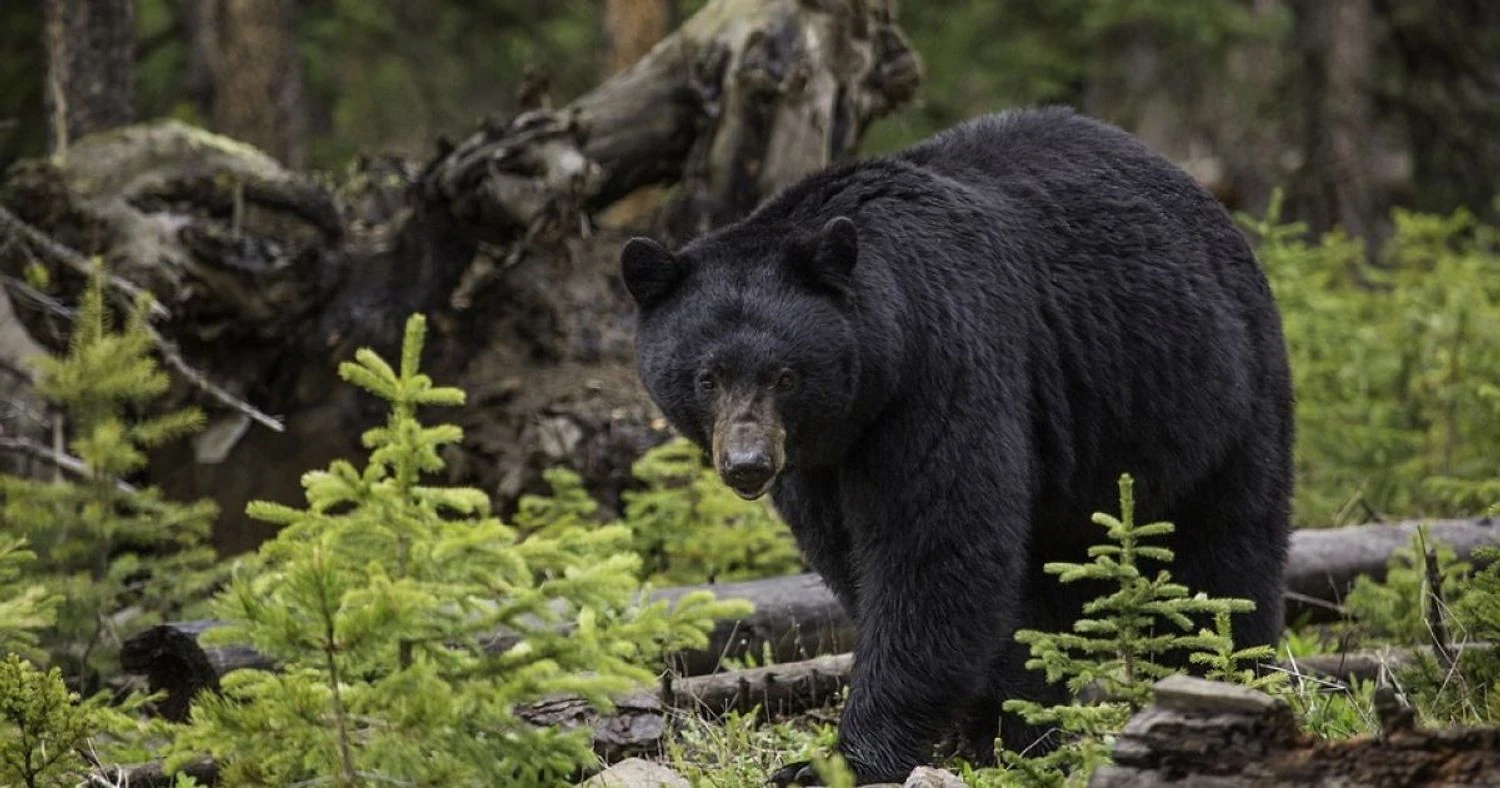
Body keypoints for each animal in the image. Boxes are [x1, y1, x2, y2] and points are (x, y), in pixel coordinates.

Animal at [619, 106, 1294, 784]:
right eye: (707, 377)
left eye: (785, 375)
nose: (747, 465)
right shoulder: (820, 460)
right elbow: (853, 556)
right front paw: (994, 727)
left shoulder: (943, 367)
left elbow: (936, 549)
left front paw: (843, 759)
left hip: (1213, 395)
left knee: (1226, 554)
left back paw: (1224, 677)